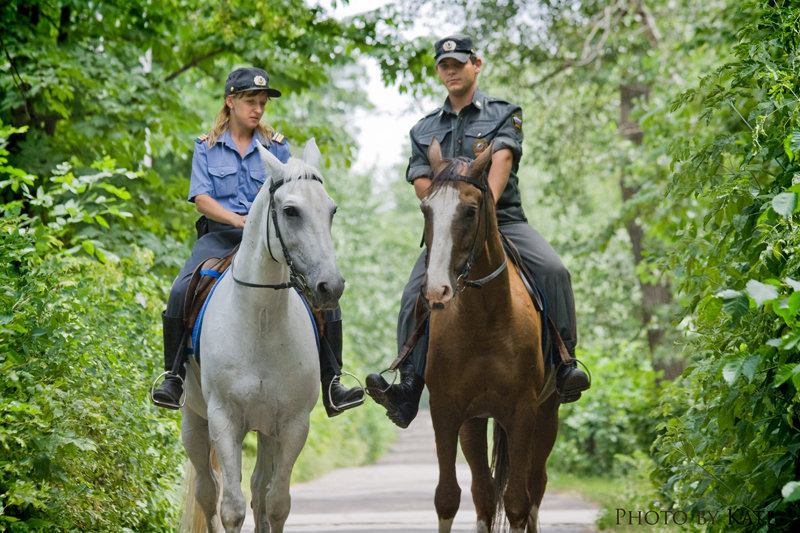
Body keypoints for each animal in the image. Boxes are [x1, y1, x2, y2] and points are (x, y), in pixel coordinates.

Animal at [181, 139, 344, 528]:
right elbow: (231, 507)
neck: (261, 320)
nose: (331, 287)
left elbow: (276, 502)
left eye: (331, 210)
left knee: (259, 491)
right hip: (193, 422)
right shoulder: (224, 421)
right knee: (208, 492)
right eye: (291, 211)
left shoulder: (293, 425)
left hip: (267, 430)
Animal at [422, 138, 560, 532]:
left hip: (548, 414)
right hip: (475, 421)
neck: (482, 323)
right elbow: (447, 497)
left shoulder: (523, 411)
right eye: (426, 210)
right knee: (483, 493)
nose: (436, 291)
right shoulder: (446, 410)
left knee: (534, 487)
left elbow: (516, 502)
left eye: (470, 211)